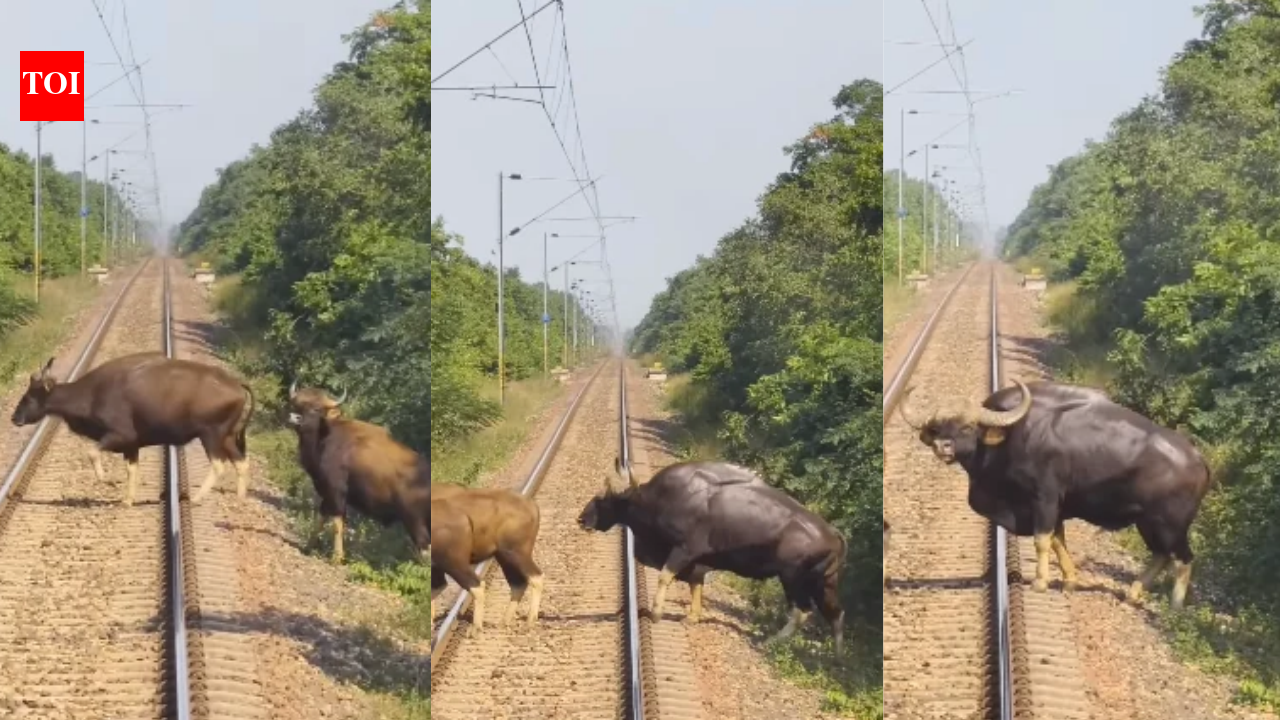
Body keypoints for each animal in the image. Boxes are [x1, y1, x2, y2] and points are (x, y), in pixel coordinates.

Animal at [11, 353, 254, 506]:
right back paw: (240, 500)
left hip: (211, 435)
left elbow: (92, 452)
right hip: (227, 436)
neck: (93, 394)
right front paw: (128, 499)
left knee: (219, 465)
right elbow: (132, 469)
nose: (14, 418)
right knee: (241, 463)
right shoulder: (132, 445)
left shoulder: (120, 436)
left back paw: (196, 498)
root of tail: (236, 384)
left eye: (29, 396)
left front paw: (109, 480)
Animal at [578, 459, 847, 652]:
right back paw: (836, 657)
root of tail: (833, 534)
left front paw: (656, 613)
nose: (581, 518)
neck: (659, 500)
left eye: (603, 498)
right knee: (835, 613)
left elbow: (666, 576)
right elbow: (695, 585)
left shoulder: (683, 550)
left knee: (803, 611)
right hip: (824, 582)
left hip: (792, 579)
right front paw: (692, 616)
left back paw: (770, 642)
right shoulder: (697, 562)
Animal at [900, 379, 1212, 608]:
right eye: (937, 428)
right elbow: (1059, 541)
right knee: (1162, 555)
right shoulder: (1056, 508)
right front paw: (1070, 580)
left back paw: (1174, 608)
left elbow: (1042, 540)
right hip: (1148, 523)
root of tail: (1199, 461)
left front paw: (1040, 582)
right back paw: (1133, 593)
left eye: (967, 426)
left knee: (1183, 559)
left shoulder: (1044, 499)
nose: (942, 446)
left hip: (1170, 525)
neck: (1011, 437)